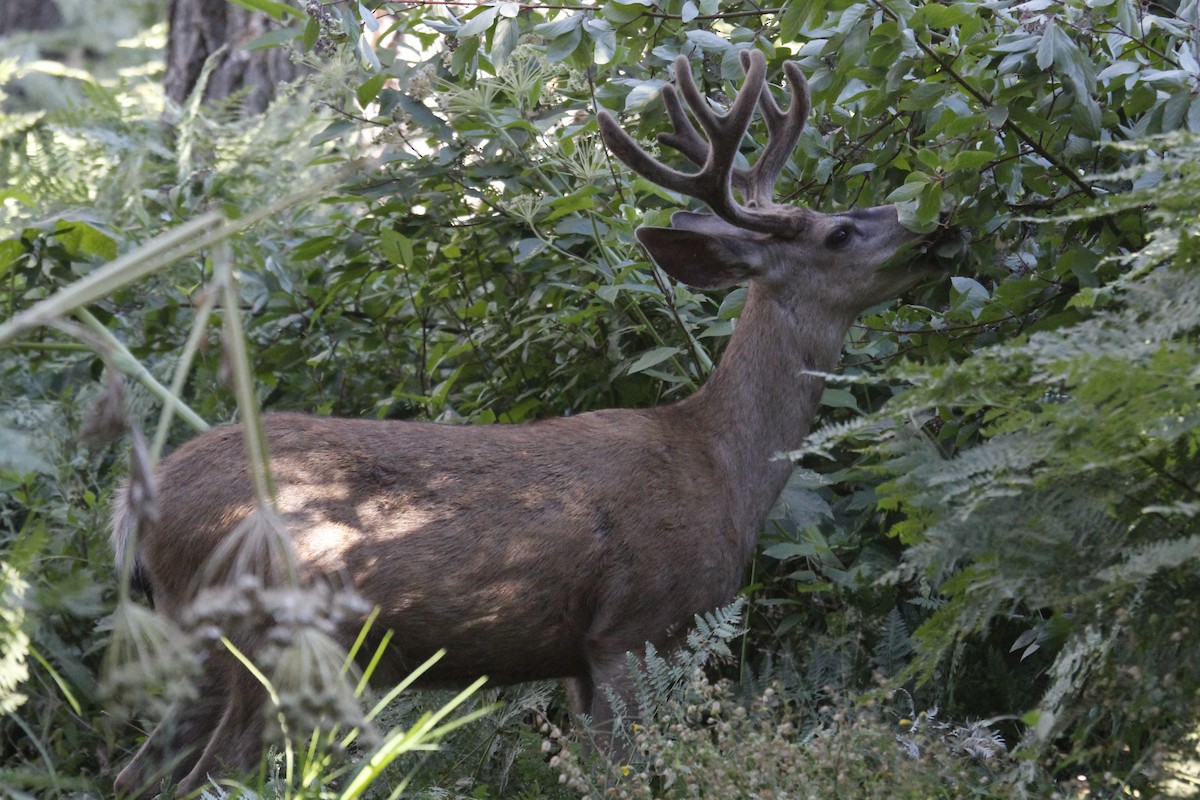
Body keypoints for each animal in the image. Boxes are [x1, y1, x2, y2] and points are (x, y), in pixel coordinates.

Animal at [111, 49, 941, 797]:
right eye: (839, 232)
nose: (932, 226)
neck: (720, 465)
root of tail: (134, 512)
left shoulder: (575, 656)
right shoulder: (630, 627)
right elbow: (618, 779)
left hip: (201, 642)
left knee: (134, 772)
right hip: (270, 627)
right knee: (211, 774)